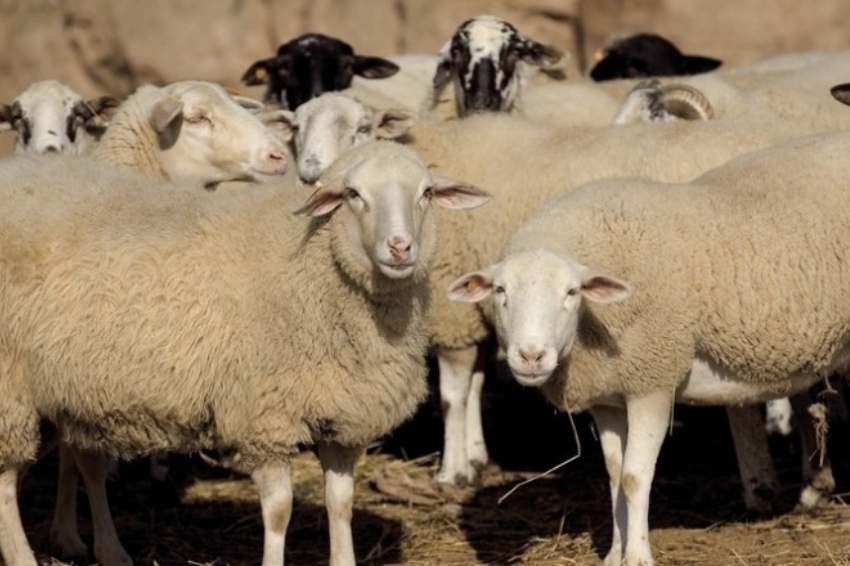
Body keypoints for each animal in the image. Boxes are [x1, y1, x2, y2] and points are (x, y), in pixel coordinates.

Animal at [0, 140, 490, 566]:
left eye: (426, 192)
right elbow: (279, 510)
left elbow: (341, 502)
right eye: (353, 195)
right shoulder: (266, 418)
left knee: (83, 463)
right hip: (10, 388)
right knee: (7, 483)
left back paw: (100, 548)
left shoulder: (341, 418)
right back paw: (26, 557)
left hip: (70, 388)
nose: (401, 248)